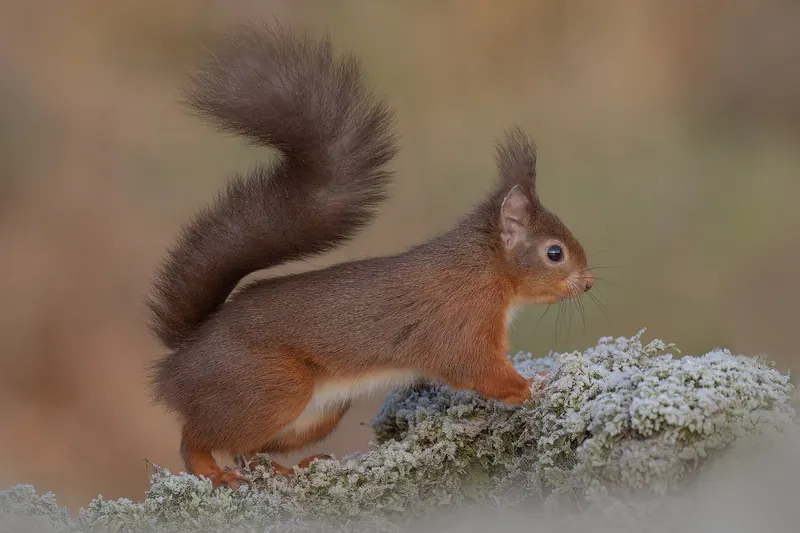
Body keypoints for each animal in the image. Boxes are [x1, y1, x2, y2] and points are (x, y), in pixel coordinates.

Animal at [147, 25, 594, 489]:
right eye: (555, 253)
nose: (588, 282)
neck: (486, 270)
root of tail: (181, 359)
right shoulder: (459, 320)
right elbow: (472, 367)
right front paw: (528, 386)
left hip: (314, 413)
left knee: (247, 449)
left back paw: (289, 469)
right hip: (269, 389)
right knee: (197, 436)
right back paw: (211, 471)